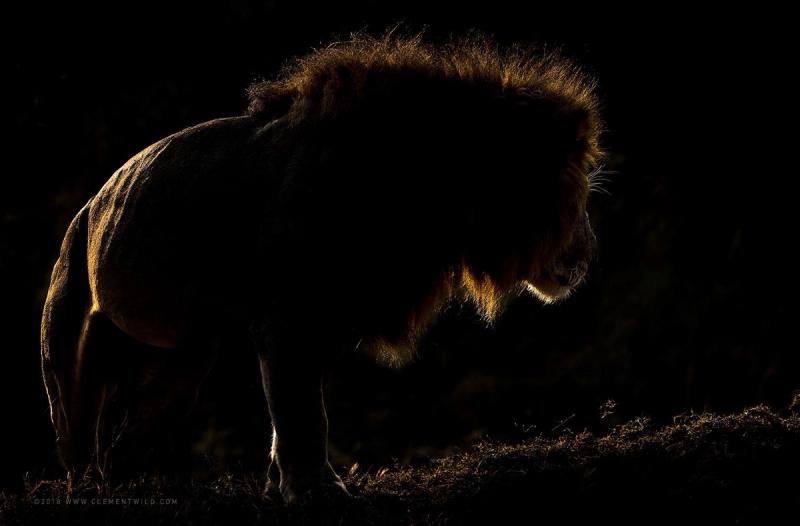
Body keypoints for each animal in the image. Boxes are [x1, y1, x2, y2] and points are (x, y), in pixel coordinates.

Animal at [40, 33, 603, 503]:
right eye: (576, 198)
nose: (589, 254)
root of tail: (85, 211)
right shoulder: (287, 320)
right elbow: (303, 411)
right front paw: (316, 490)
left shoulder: (331, 316)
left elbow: (293, 413)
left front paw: (281, 485)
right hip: (69, 347)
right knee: (76, 431)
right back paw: (87, 489)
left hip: (182, 359)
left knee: (127, 429)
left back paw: (133, 484)